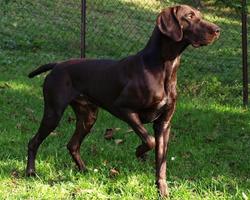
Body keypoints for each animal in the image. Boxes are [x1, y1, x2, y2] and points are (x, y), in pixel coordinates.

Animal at [26, 4, 220, 197]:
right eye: (189, 16)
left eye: (200, 15)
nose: (218, 30)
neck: (164, 66)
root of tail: (57, 64)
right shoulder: (124, 109)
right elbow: (149, 140)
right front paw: (139, 152)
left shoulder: (164, 124)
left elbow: (161, 161)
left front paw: (162, 190)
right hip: (53, 113)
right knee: (33, 142)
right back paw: (31, 172)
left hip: (88, 117)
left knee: (72, 145)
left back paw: (84, 170)